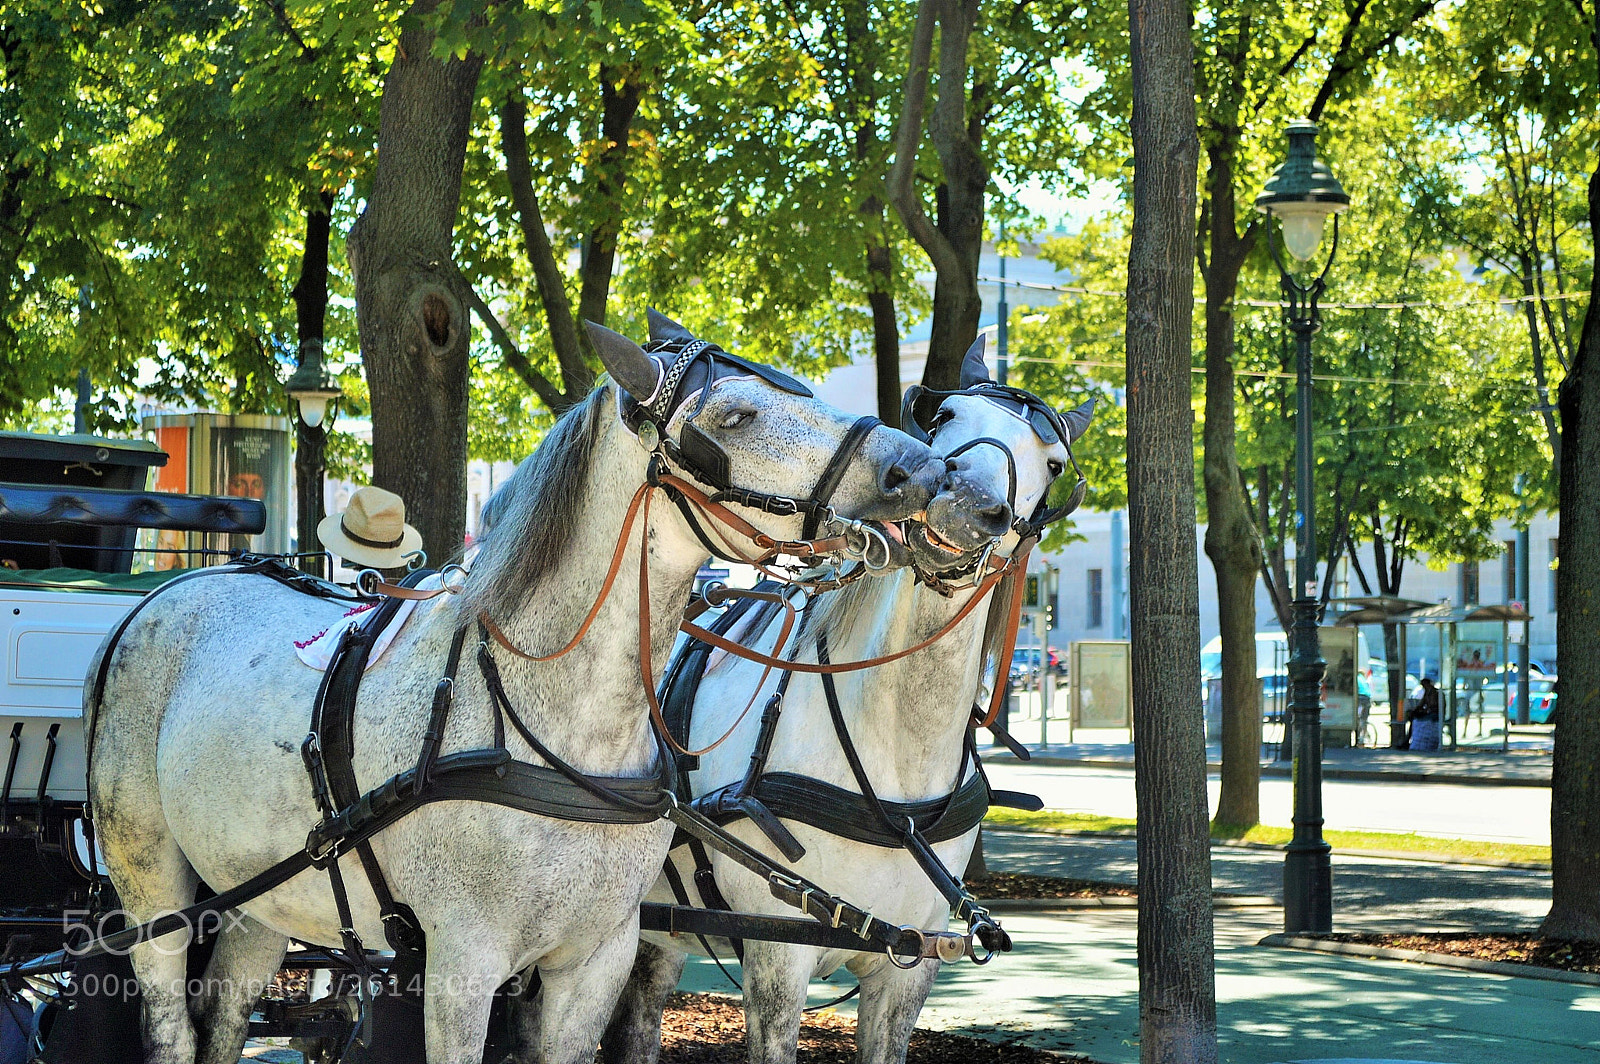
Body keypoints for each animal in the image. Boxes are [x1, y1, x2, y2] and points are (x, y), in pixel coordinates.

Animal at [84, 313, 951, 1064]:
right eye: (737, 416)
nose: (922, 468)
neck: (566, 727)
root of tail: (166, 594)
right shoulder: (461, 964)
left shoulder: (597, 959)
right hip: (150, 885)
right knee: (170, 1018)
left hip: (262, 892)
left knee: (228, 1010)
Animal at [598, 338, 1094, 1064]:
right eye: (943, 414)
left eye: (1054, 462)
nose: (965, 500)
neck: (895, 758)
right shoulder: (779, 959)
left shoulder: (907, 968)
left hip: (656, 933)